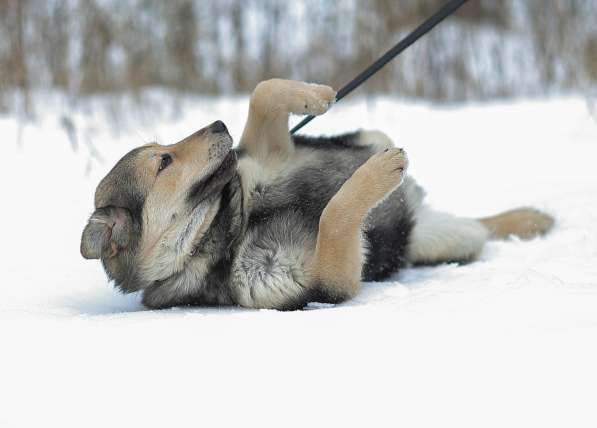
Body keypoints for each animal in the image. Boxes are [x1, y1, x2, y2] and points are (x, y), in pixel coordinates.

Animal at [80, 78, 556, 310]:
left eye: (167, 146)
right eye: (164, 162)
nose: (218, 124)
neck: (231, 220)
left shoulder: (271, 154)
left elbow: (263, 92)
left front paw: (315, 96)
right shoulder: (327, 281)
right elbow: (334, 214)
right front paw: (379, 171)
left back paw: (532, 218)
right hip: (446, 238)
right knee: (475, 227)